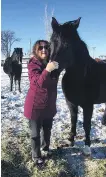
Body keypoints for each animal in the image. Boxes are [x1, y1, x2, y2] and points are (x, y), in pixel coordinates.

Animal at [49, 16, 106, 155]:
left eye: (67, 45)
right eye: (51, 42)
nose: (51, 73)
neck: (81, 77)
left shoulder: (88, 106)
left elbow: (86, 124)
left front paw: (87, 146)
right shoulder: (71, 103)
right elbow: (73, 120)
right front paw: (70, 140)